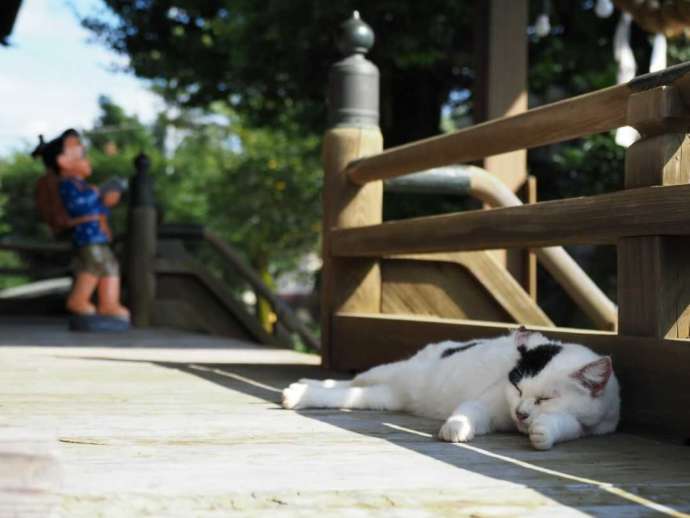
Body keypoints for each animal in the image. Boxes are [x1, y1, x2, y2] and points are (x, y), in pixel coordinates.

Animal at [280, 330, 620, 450]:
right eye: (516, 387)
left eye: (546, 399)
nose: (521, 413)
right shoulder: (487, 402)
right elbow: (468, 411)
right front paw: (456, 427)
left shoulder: (592, 426)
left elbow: (565, 426)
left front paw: (543, 431)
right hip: (389, 371)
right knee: (349, 383)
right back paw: (301, 390)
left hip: (388, 397)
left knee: (357, 393)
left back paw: (303, 389)